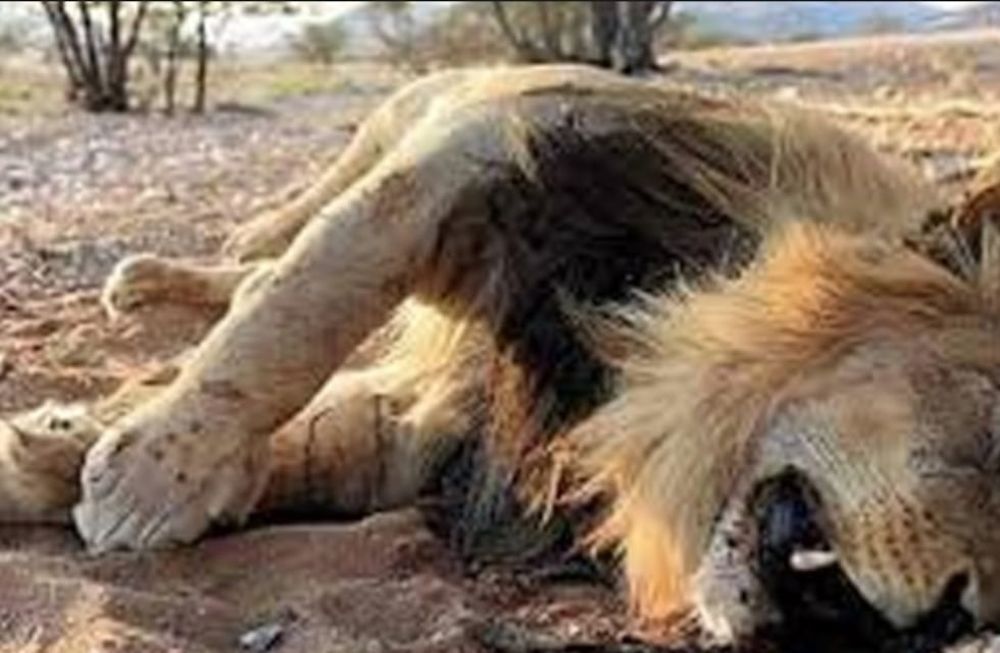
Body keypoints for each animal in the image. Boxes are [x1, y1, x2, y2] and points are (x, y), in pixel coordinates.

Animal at [2, 64, 999, 648]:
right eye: (993, 434)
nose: (957, 614)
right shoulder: (486, 168)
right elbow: (301, 310)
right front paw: (145, 475)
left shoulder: (438, 435)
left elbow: (320, 447)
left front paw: (58, 448)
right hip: (399, 118)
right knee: (274, 245)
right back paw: (149, 280)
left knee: (254, 276)